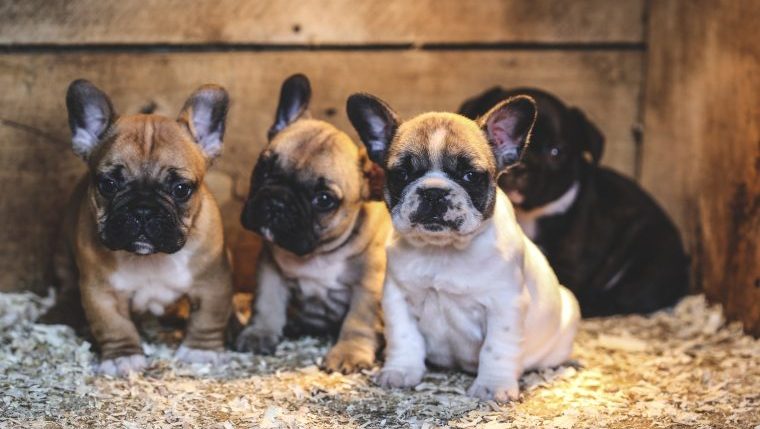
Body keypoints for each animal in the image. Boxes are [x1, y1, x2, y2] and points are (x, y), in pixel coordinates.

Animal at [38, 80, 233, 374]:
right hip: (63, 250)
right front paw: (123, 357)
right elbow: (114, 325)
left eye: (181, 189)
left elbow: (209, 317)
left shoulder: (213, 282)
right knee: (67, 285)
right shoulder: (101, 291)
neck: (150, 259)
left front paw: (202, 350)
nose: (143, 210)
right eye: (108, 184)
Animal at [238, 72, 392, 372]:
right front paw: (259, 333)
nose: (278, 201)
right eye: (264, 168)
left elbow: (359, 319)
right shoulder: (270, 268)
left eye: (324, 199)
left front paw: (349, 353)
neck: (319, 254)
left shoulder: (369, 284)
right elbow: (267, 303)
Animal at [348, 91, 580, 402]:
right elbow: (404, 337)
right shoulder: (397, 299)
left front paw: (492, 386)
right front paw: (400, 371)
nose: (433, 191)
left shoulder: (504, 305)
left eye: (470, 175)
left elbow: (497, 348)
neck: (443, 250)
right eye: (402, 175)